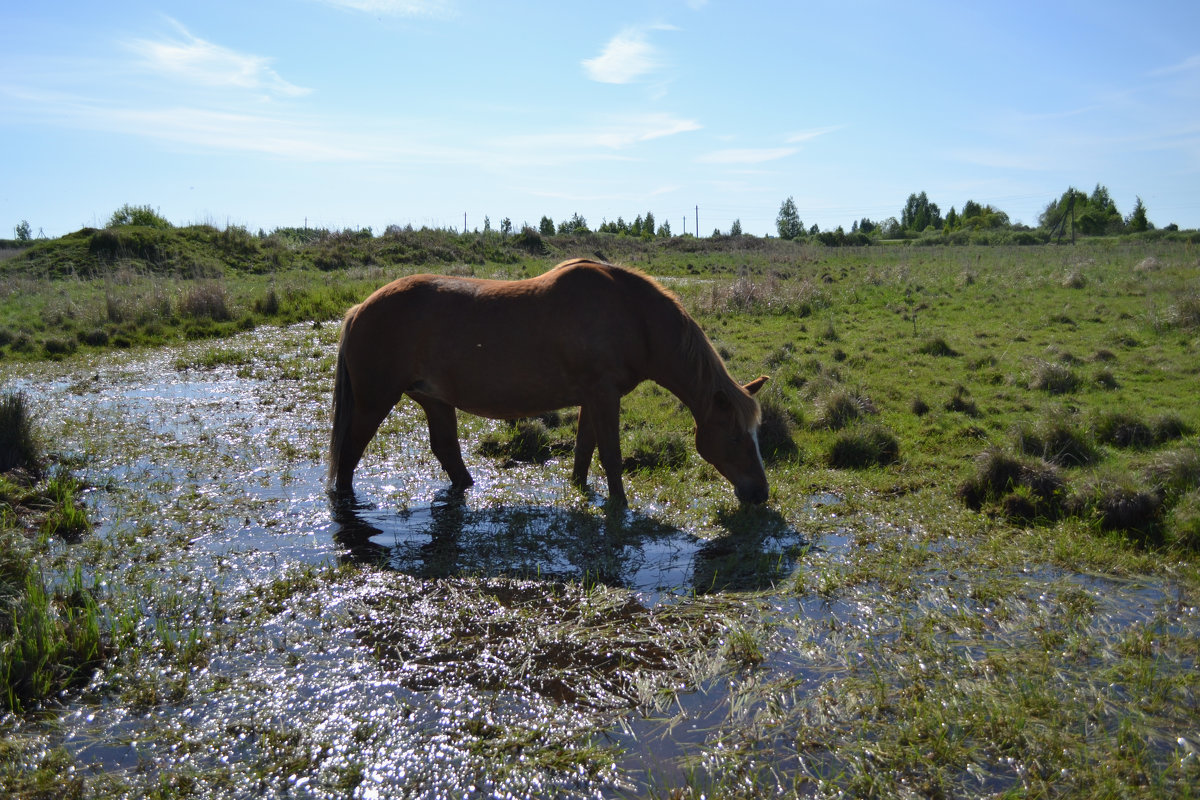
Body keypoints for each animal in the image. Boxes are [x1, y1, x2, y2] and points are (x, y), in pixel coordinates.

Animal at [328, 260, 768, 503]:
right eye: (735, 437)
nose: (760, 495)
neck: (632, 316)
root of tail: (359, 308)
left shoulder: (593, 396)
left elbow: (584, 449)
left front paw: (580, 490)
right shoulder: (604, 395)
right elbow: (610, 455)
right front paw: (621, 506)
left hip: (434, 400)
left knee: (447, 451)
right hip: (375, 401)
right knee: (350, 452)